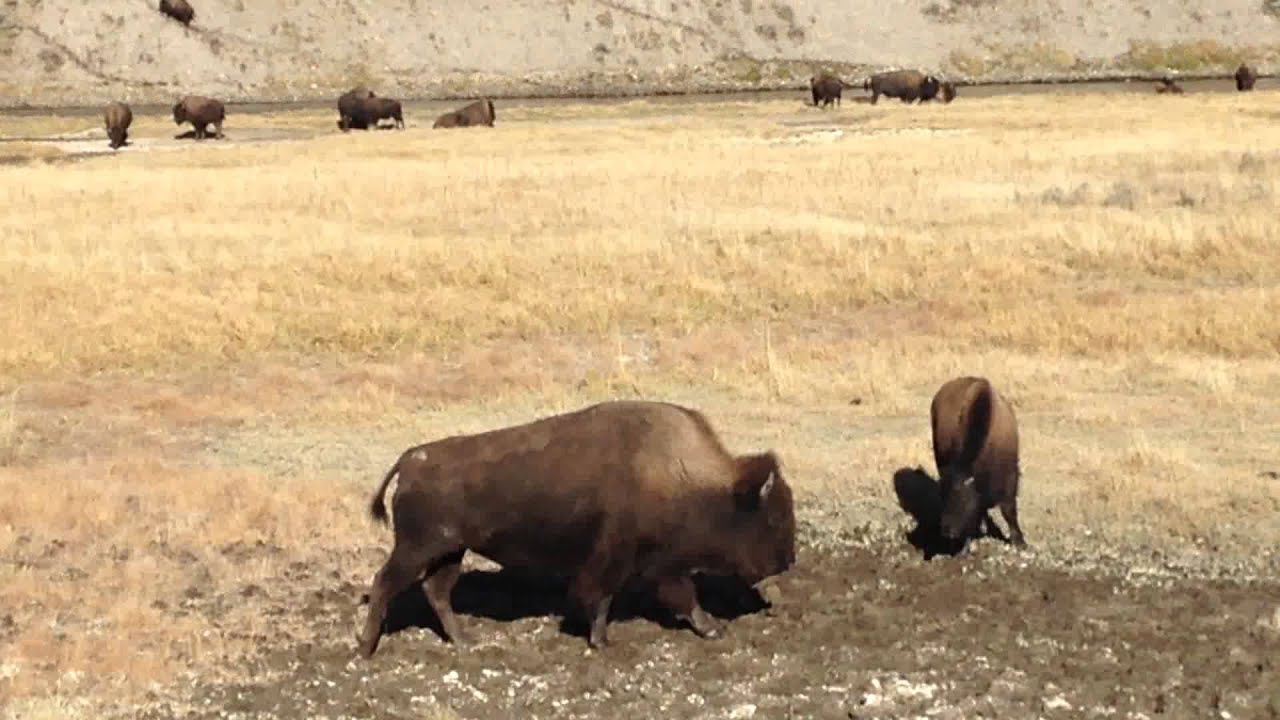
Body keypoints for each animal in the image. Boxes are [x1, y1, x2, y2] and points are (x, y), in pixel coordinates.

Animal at [357, 400, 797, 659]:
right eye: (771, 518)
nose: (787, 560)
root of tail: (411, 459)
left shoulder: (653, 564)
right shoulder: (627, 558)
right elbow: (611, 596)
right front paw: (602, 640)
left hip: (449, 552)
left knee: (436, 591)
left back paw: (465, 642)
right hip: (419, 548)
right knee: (385, 583)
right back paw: (365, 648)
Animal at [930, 376, 1025, 550]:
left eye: (962, 497)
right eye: (942, 495)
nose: (947, 531)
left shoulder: (1010, 477)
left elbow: (1009, 511)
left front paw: (1020, 541)